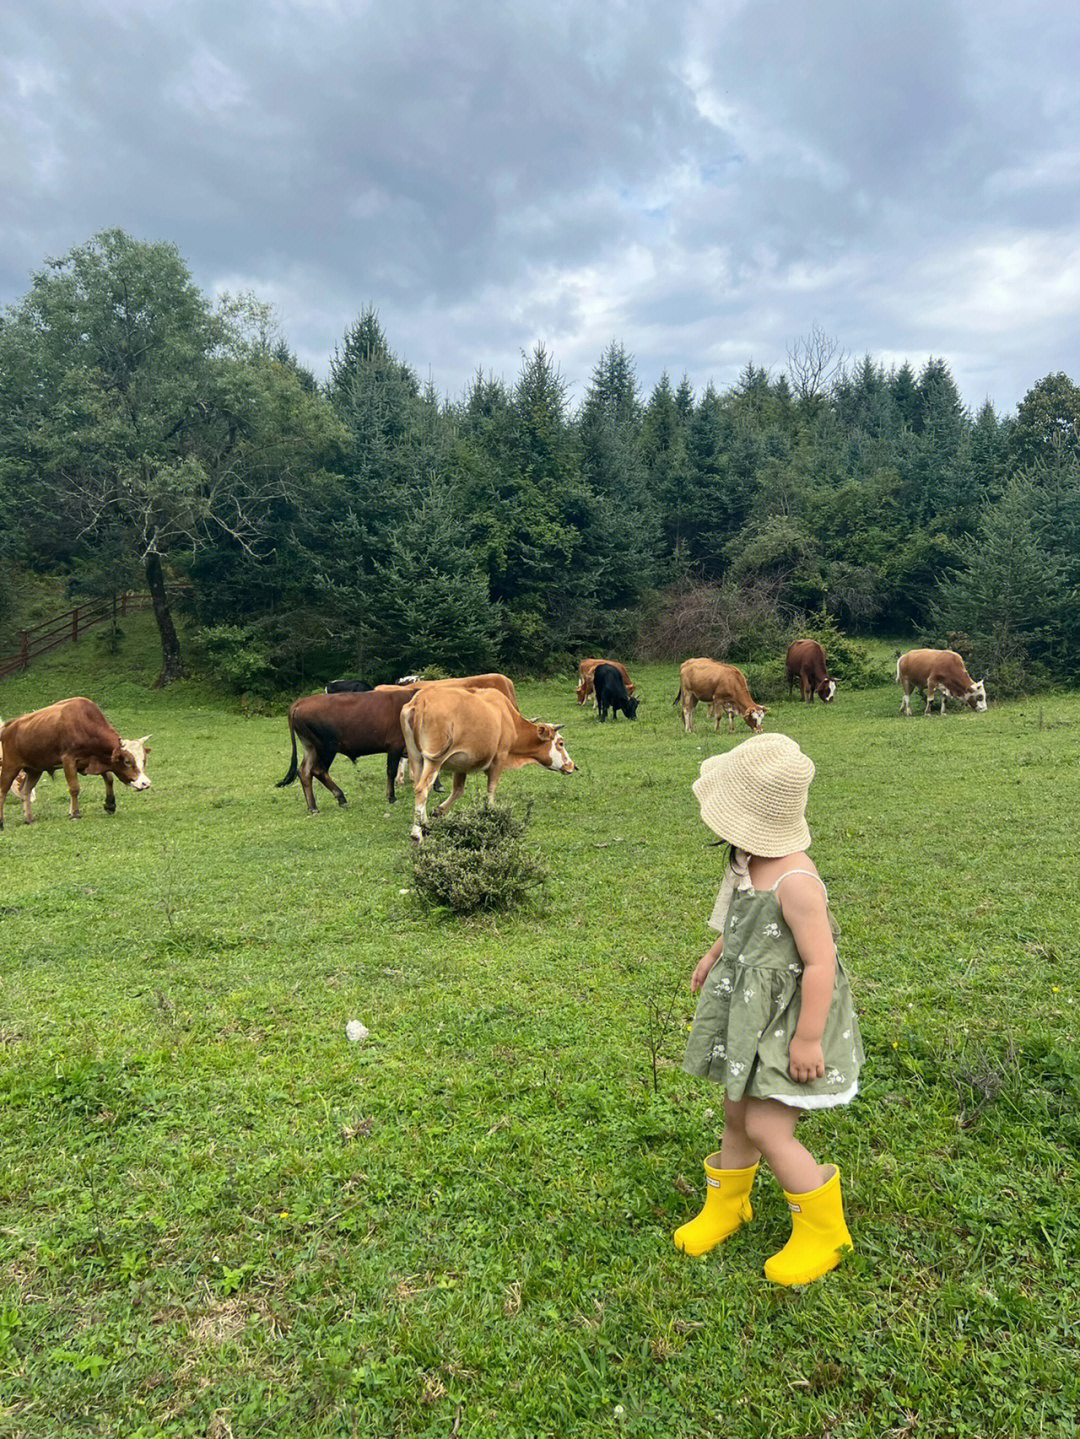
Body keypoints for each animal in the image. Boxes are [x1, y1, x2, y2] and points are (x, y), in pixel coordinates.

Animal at [0, 699, 153, 834]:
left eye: (144, 760)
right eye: (127, 761)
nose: (145, 783)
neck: (84, 724)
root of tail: (8, 727)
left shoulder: (96, 760)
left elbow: (109, 778)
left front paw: (110, 804)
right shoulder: (68, 760)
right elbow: (74, 788)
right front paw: (75, 813)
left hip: (35, 769)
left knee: (25, 790)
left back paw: (29, 818)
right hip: (10, 766)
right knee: (3, 791)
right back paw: (1, 823)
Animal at [402, 687, 578, 840]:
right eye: (560, 743)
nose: (573, 766)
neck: (507, 718)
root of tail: (421, 700)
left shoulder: (461, 764)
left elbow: (458, 790)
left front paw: (440, 811)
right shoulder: (499, 759)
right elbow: (491, 789)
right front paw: (492, 814)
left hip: (416, 758)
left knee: (418, 786)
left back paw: (424, 823)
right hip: (434, 761)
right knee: (422, 789)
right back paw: (416, 832)